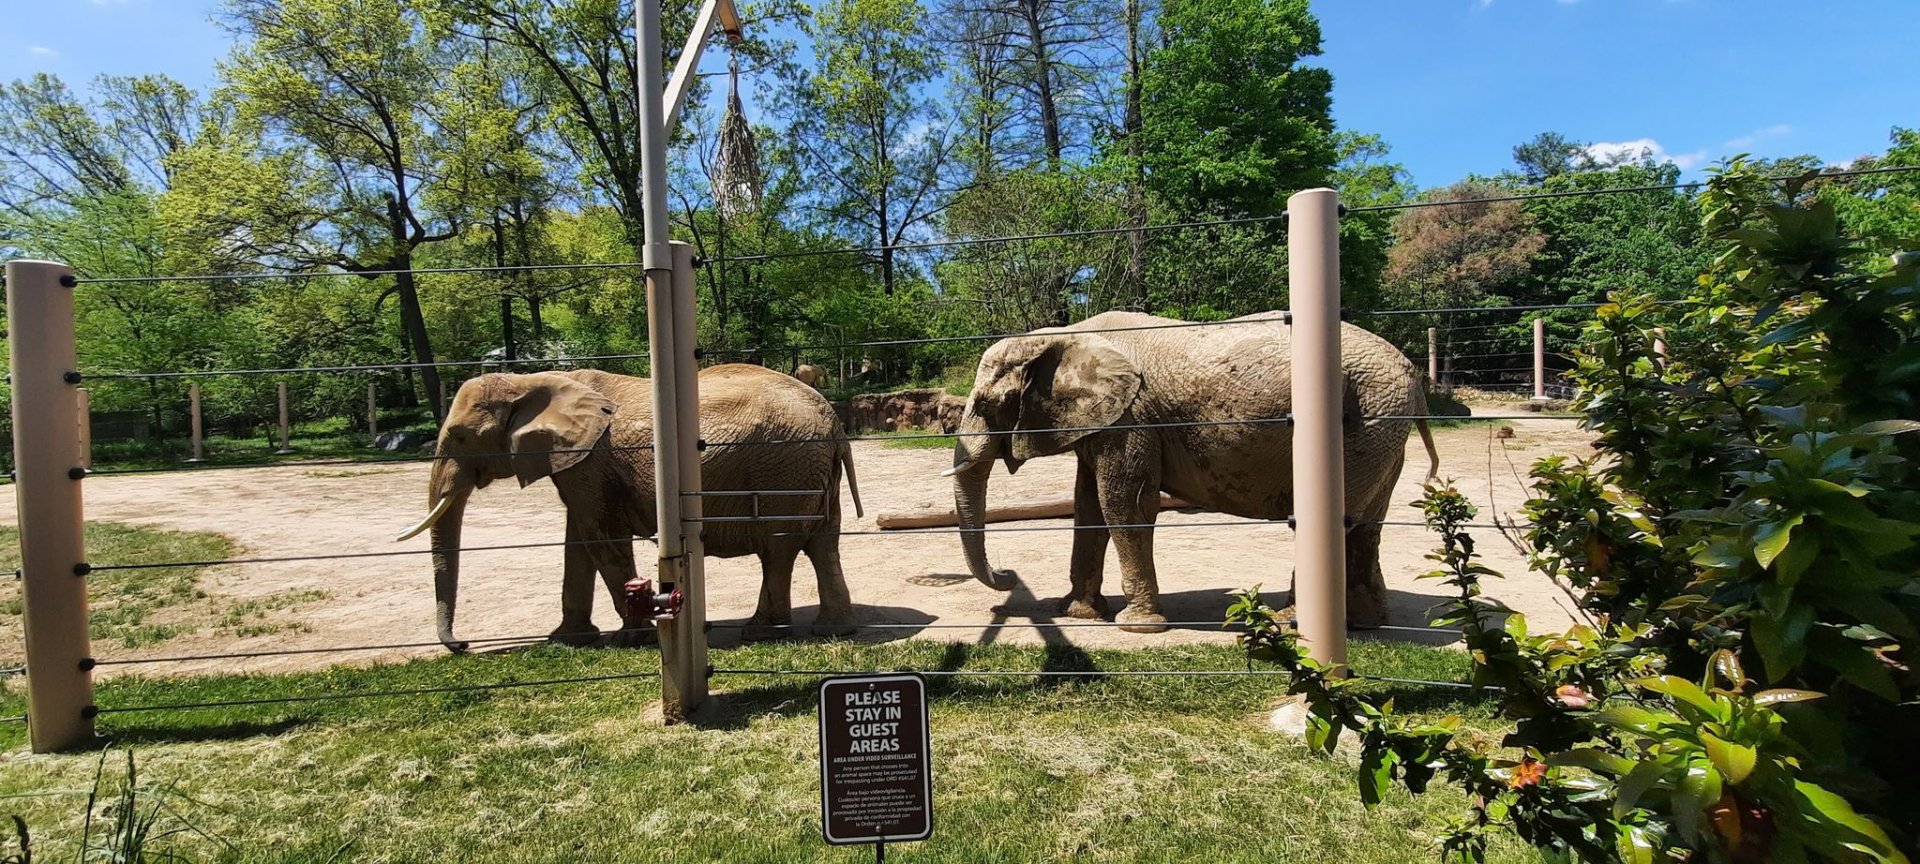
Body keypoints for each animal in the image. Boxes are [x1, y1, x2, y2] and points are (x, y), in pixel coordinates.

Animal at [395, 364, 864, 651]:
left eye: (459, 436)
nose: (462, 645)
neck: (530, 381)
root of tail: (834, 422)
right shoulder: (577, 463)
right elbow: (578, 542)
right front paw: (568, 639)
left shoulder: (590, 462)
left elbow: (600, 536)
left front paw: (631, 639)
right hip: (807, 470)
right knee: (822, 543)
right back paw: (831, 630)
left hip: (782, 467)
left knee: (777, 547)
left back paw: (760, 632)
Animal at [945, 310, 1438, 632]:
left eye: (987, 404)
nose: (1008, 575)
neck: (1063, 336)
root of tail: (1413, 375)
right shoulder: (1105, 420)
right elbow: (1088, 506)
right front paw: (1079, 614)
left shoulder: (1133, 418)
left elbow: (1123, 503)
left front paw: (1136, 627)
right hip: (1378, 428)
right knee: (1366, 525)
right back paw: (1366, 625)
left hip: (1367, 419)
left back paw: (1289, 625)